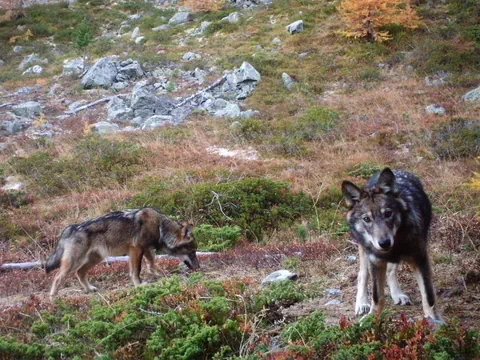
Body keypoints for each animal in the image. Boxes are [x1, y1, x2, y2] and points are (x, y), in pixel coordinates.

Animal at [46, 210, 200, 296]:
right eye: (192, 251)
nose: (199, 268)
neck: (159, 227)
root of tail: (70, 228)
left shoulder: (146, 249)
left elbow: (151, 265)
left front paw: (159, 275)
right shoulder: (136, 249)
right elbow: (136, 270)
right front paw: (139, 285)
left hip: (95, 259)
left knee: (80, 273)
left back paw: (89, 289)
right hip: (75, 262)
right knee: (58, 277)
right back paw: (53, 298)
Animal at [344, 167, 440, 320]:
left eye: (388, 213)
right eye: (366, 219)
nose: (384, 243)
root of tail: (397, 170)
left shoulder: (420, 260)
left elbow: (428, 296)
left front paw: (431, 320)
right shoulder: (375, 262)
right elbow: (377, 297)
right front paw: (372, 319)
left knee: (390, 271)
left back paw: (398, 295)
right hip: (364, 251)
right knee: (362, 274)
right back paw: (362, 303)